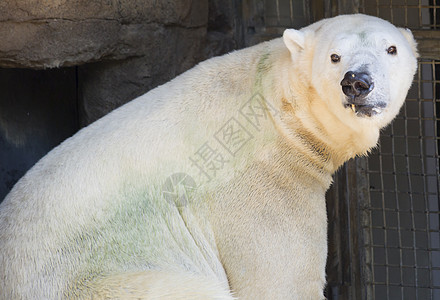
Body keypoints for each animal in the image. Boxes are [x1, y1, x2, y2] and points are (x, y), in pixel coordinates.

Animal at [0, 14, 416, 300]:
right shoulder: (263, 185)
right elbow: (280, 281)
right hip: (97, 277)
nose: (357, 82)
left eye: (391, 49)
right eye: (334, 56)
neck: (277, 107)